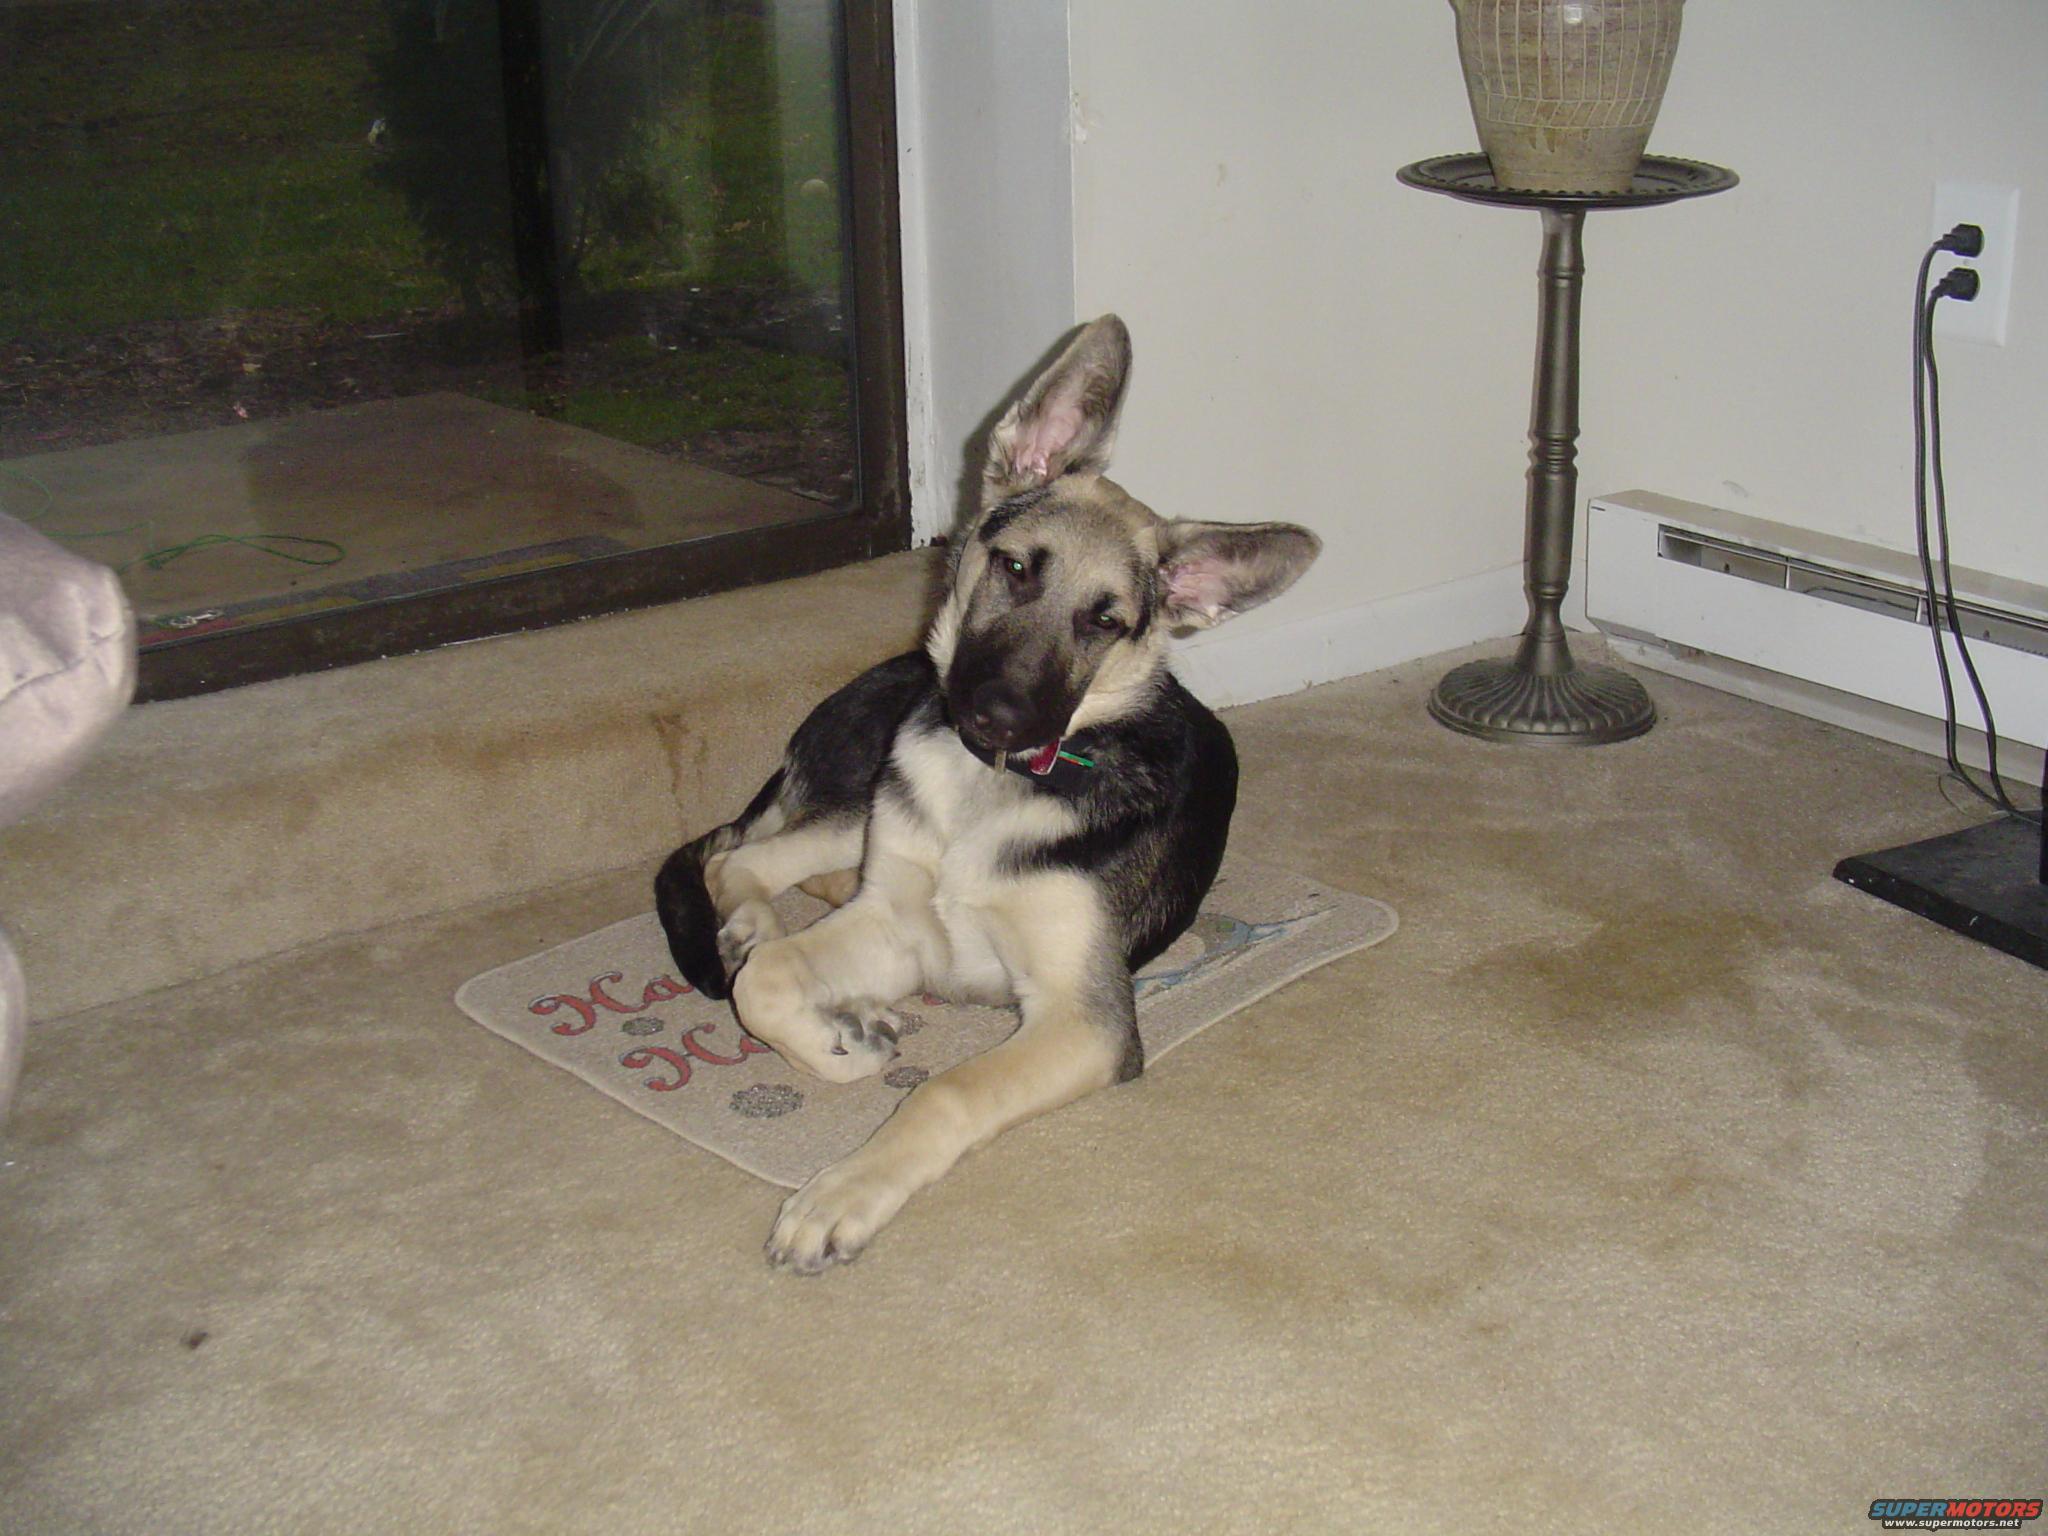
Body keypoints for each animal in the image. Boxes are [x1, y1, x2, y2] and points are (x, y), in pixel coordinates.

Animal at [655, 315, 1320, 1271]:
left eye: (1106, 620)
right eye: (1014, 566)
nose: (996, 717)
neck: (991, 790)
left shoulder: (1084, 1019)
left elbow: (947, 1091)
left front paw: (843, 1189)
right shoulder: (897, 918)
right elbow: (768, 982)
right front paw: (833, 1046)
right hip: (865, 788)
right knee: (741, 860)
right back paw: (755, 932)